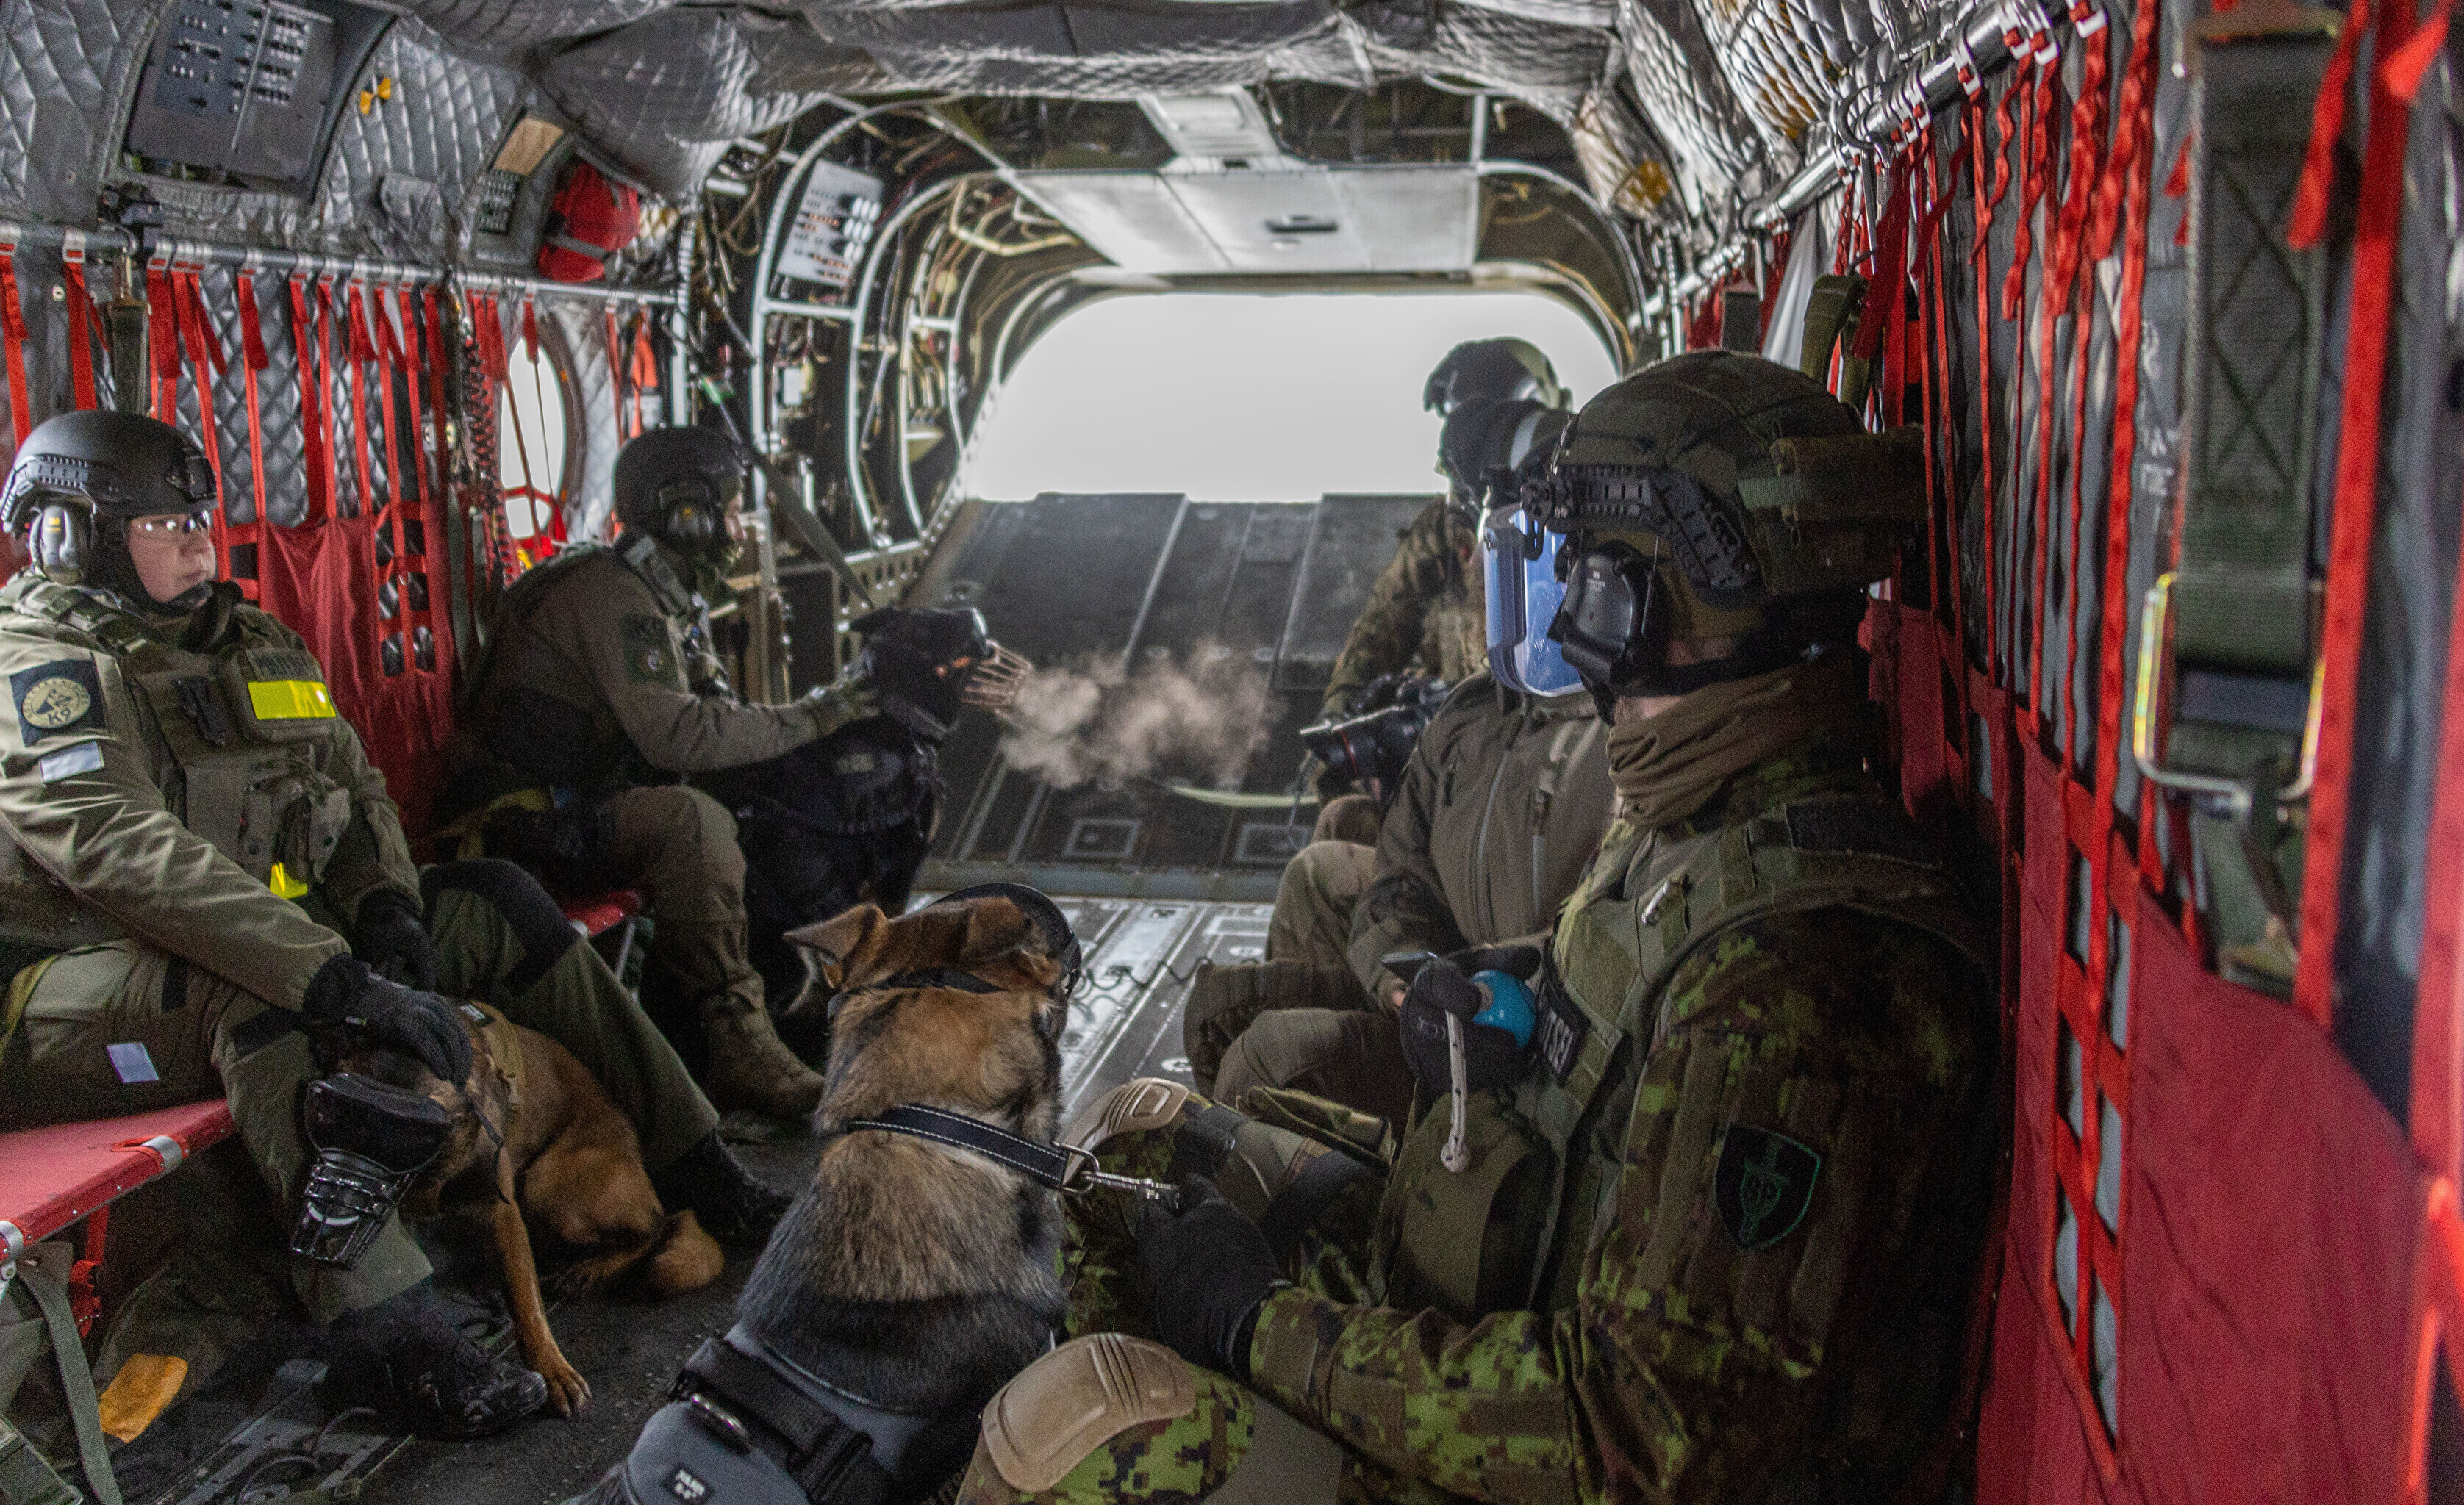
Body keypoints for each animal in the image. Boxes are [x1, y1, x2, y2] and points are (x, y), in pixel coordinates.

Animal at [326, 1005, 725, 1417]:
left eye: (418, 1124)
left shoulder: (500, 1208)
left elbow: (526, 1303)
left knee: (655, 1227)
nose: (354, 1185)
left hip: (546, 1187)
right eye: (353, 1118)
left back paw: (590, 1269)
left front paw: (552, 1371)